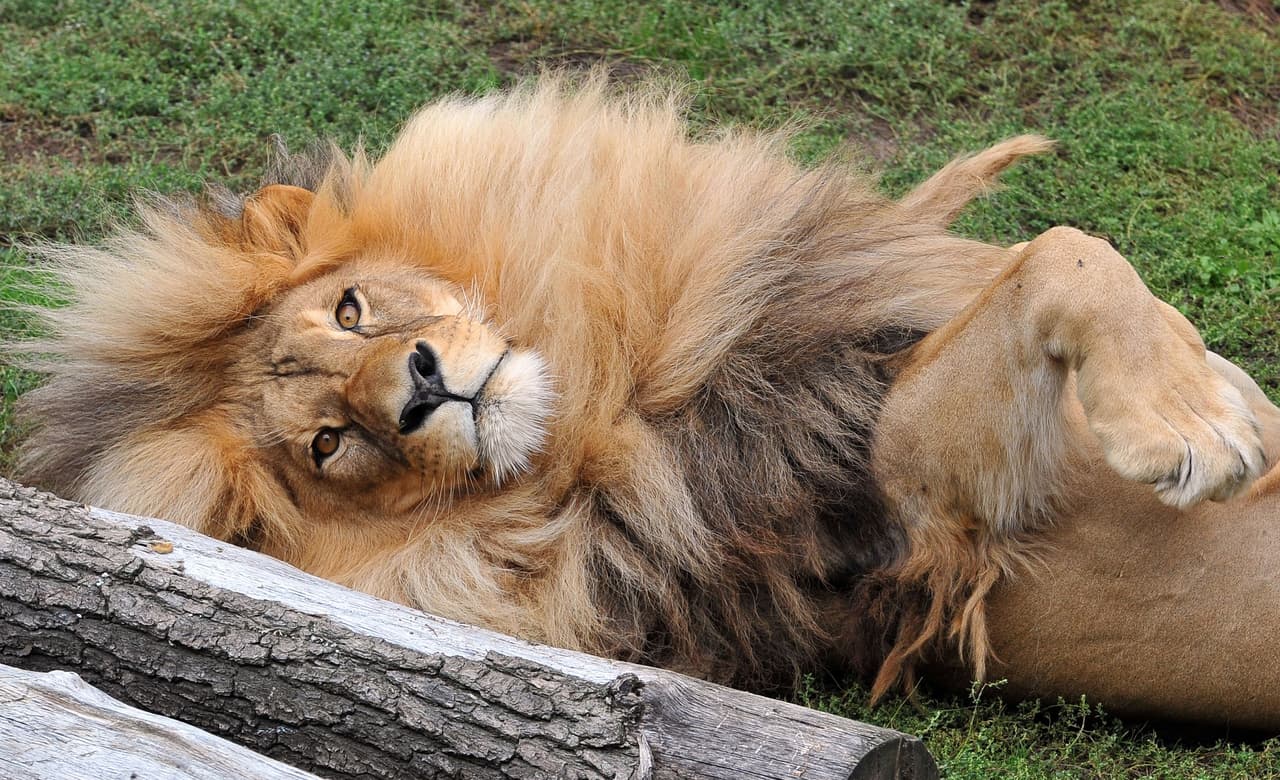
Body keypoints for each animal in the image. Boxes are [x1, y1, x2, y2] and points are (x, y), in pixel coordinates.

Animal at [13, 76, 1280, 729]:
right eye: (330, 445)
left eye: (352, 308)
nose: (417, 393)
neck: (608, 389)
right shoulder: (928, 512)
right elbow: (1057, 257)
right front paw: (1192, 431)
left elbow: (1081, 258)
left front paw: (1206, 392)